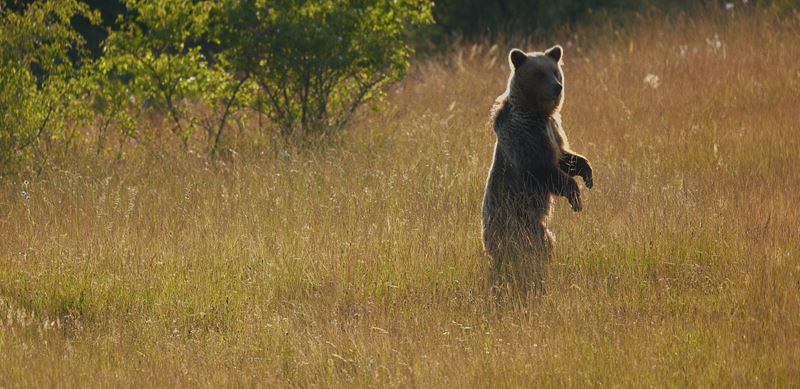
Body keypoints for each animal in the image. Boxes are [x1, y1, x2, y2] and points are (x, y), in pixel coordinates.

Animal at [482, 44, 592, 266]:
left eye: (555, 72)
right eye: (539, 74)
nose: (557, 87)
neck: (538, 113)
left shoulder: (553, 129)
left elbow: (563, 157)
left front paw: (587, 173)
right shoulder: (526, 136)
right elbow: (542, 170)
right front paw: (576, 198)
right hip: (519, 222)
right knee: (534, 243)